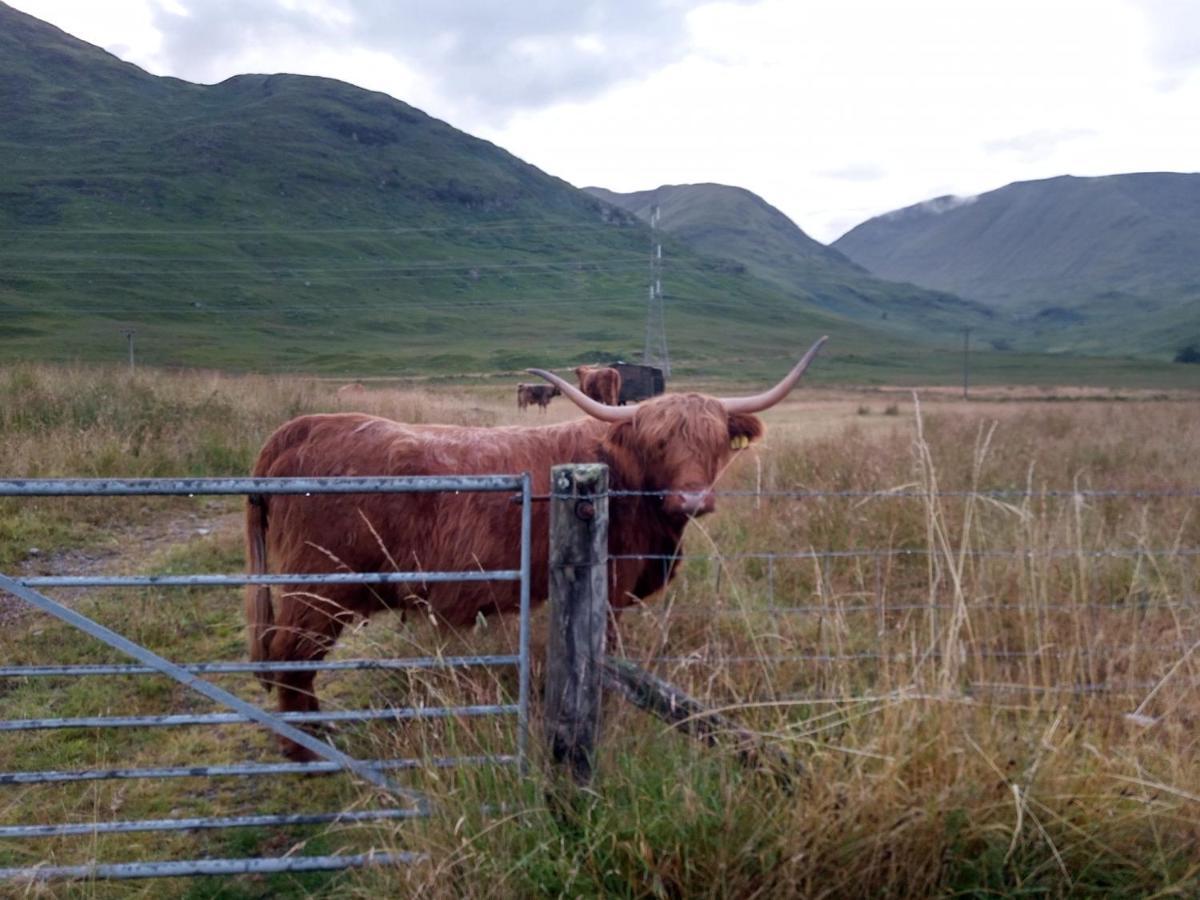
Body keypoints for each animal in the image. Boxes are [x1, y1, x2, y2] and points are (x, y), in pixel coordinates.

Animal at [243, 338, 825, 763]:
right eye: (660, 442)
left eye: (713, 442)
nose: (693, 498)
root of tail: (300, 427)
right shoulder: (609, 589)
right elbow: (604, 660)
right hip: (318, 586)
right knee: (291, 655)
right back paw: (305, 748)